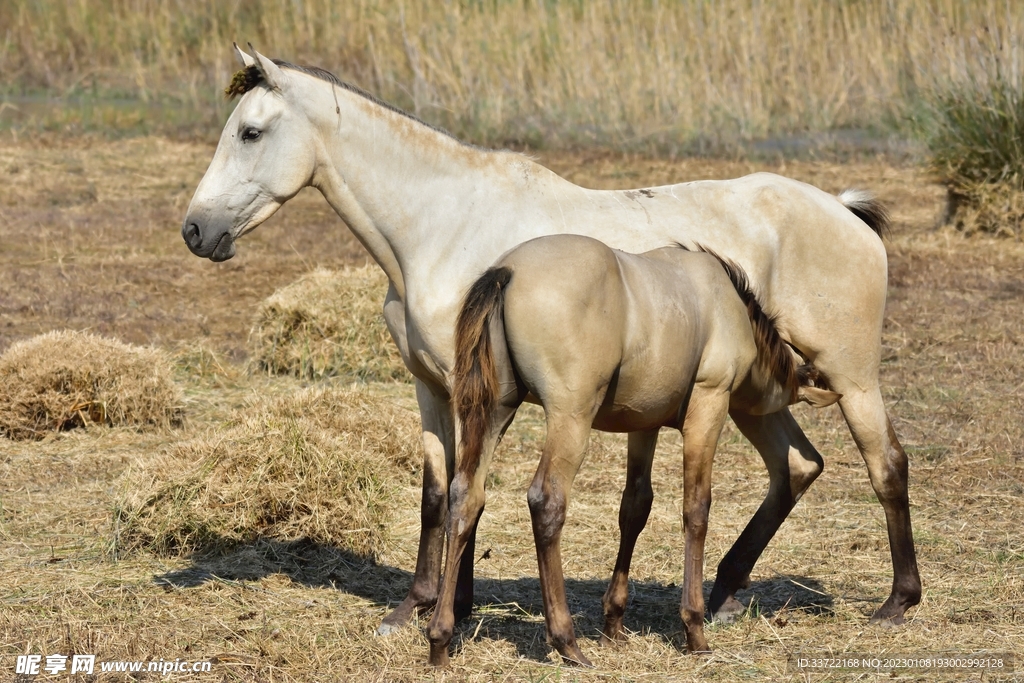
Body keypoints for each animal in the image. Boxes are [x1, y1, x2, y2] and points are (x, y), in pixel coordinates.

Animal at [427, 235, 841, 666]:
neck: (725, 303)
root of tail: (507, 270)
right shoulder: (708, 408)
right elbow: (696, 510)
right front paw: (694, 630)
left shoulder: (644, 424)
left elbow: (635, 508)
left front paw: (614, 622)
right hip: (570, 417)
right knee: (547, 501)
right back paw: (566, 640)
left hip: (496, 411)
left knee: (466, 496)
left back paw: (440, 638)